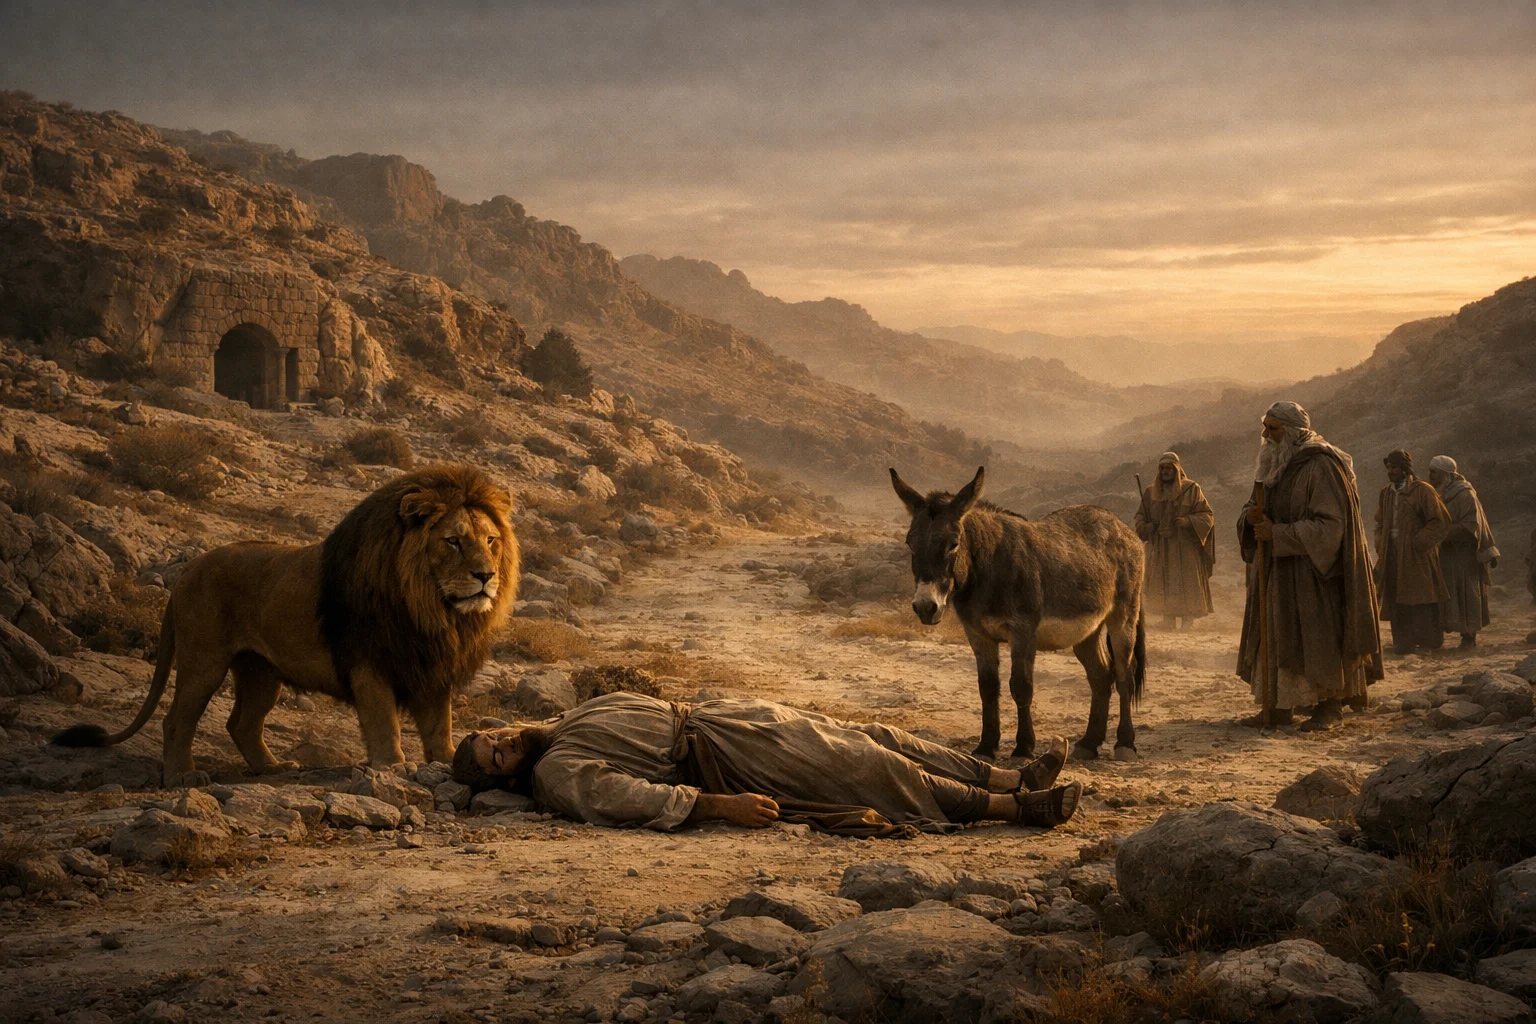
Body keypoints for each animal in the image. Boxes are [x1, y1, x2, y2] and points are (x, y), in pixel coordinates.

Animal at [53, 463, 519, 785]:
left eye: (490, 540)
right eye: (453, 541)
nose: (485, 576)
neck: (433, 608)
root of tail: (186, 572)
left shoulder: (434, 666)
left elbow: (439, 725)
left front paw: (447, 758)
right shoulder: (370, 664)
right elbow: (384, 721)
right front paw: (393, 766)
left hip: (261, 672)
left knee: (241, 724)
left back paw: (274, 768)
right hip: (204, 662)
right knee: (176, 720)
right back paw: (183, 776)